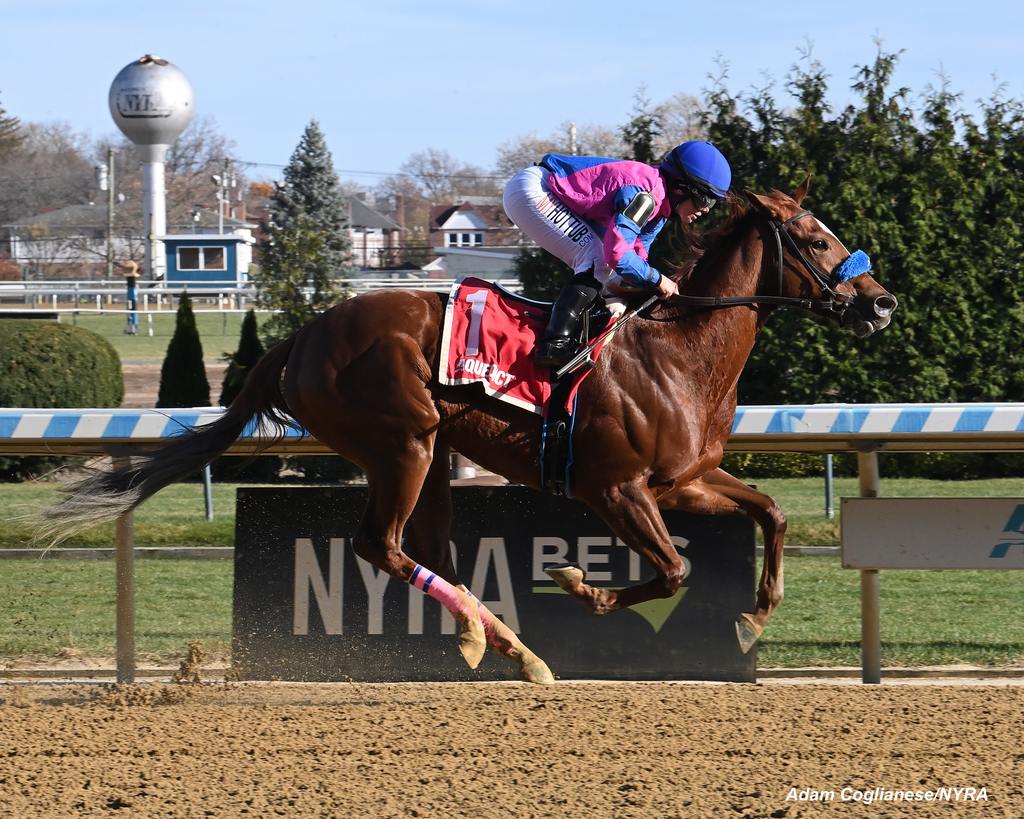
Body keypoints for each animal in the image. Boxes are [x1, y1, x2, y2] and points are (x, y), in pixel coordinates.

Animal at [44, 184, 897, 683]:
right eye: (817, 240)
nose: (881, 302)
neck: (679, 349)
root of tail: (305, 336)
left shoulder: (683, 479)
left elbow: (770, 513)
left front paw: (753, 617)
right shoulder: (615, 488)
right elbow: (672, 570)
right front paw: (580, 583)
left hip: (431, 457)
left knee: (432, 551)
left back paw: (509, 647)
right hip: (405, 443)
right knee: (380, 545)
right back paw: (499, 643)